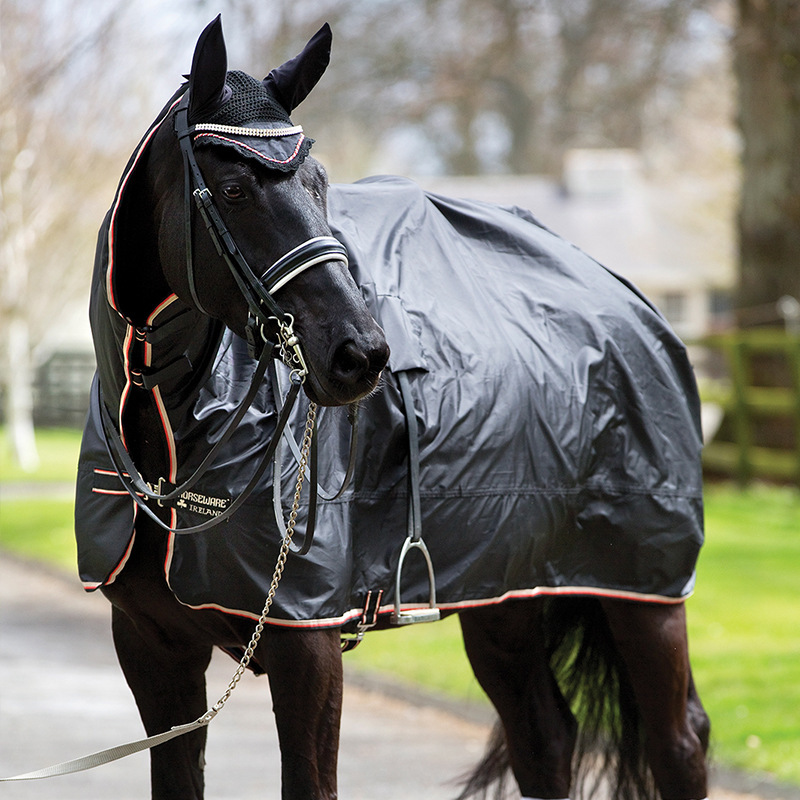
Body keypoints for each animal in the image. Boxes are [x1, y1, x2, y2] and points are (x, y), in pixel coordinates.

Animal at [75, 16, 710, 800]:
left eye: (318, 183)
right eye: (231, 188)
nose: (360, 355)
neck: (171, 436)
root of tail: (623, 296)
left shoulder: (307, 645)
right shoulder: (154, 652)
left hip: (644, 593)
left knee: (675, 744)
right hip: (506, 597)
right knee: (545, 737)